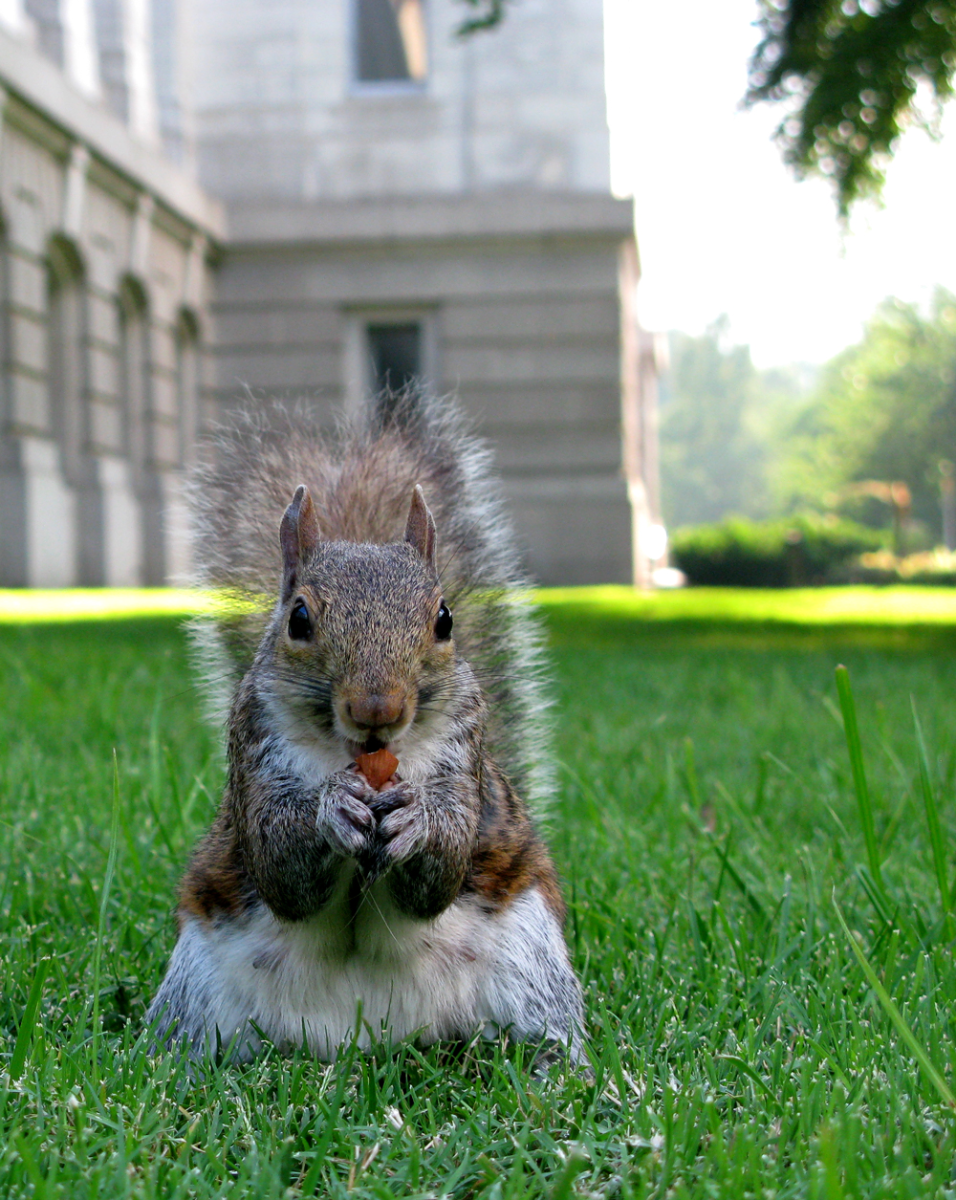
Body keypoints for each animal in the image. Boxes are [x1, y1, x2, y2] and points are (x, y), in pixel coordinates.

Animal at [147, 393, 584, 1063]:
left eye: (444, 618)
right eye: (299, 618)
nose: (377, 709)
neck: (361, 757)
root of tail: (367, 1038)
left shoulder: (465, 753)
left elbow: (440, 874)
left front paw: (418, 820)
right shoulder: (253, 753)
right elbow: (280, 866)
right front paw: (332, 807)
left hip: (532, 964)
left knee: (547, 1033)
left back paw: (566, 1075)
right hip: (196, 992)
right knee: (186, 1048)